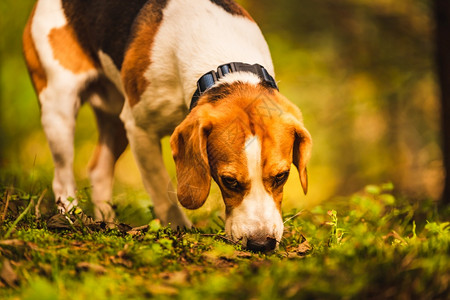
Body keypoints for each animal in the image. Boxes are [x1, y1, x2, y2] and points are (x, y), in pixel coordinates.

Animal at [22, 0, 312, 251]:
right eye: (228, 181)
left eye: (282, 176)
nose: (261, 244)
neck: (223, 64)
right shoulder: (139, 129)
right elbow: (162, 190)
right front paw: (179, 229)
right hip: (59, 106)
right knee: (62, 178)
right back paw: (71, 218)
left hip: (115, 118)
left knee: (98, 170)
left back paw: (107, 223)